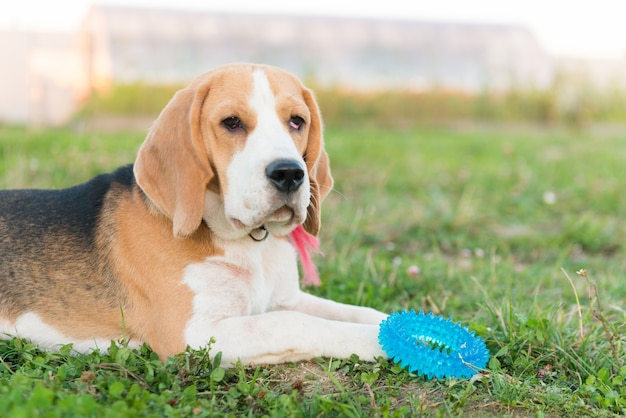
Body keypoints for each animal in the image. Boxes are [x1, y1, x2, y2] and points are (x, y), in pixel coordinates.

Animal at [0, 62, 386, 366]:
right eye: (232, 122)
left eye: (297, 121)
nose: (289, 173)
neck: (249, 244)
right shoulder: (194, 334)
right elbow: (293, 323)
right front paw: (382, 341)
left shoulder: (286, 299)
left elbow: (356, 311)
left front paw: (396, 323)